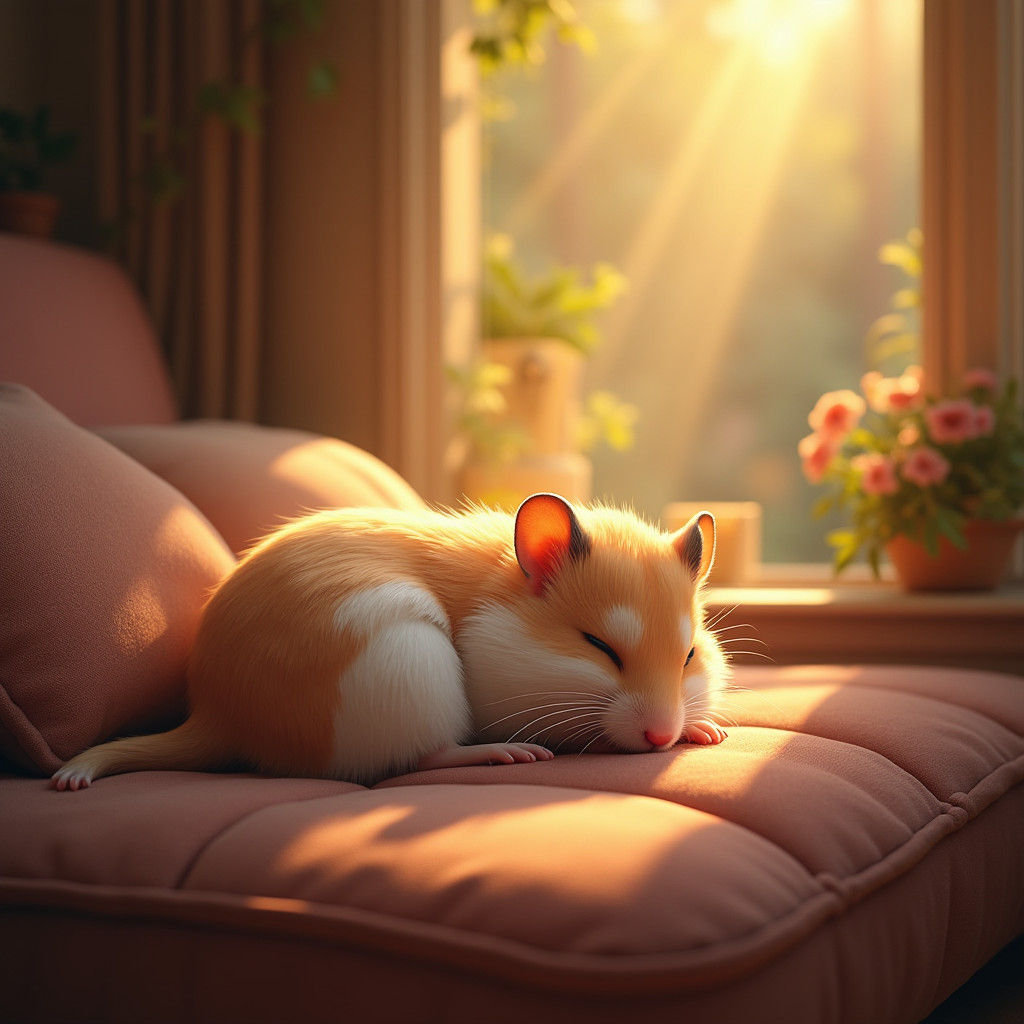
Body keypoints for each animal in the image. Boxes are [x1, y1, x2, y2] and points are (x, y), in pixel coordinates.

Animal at [52, 493, 728, 790]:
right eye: (598, 646)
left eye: (690, 654)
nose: (663, 736)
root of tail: (218, 719)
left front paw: (706, 730)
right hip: (409, 663)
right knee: (413, 757)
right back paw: (501, 756)